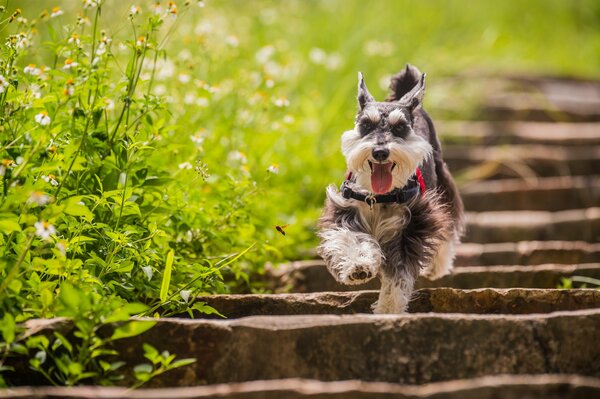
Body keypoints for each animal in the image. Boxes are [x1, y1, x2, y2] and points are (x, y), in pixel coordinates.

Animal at [318, 65, 464, 316]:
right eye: (366, 124)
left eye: (400, 128)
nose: (380, 152)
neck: (379, 196)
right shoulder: (344, 211)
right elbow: (351, 238)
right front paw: (358, 266)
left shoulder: (412, 226)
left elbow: (399, 274)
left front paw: (388, 308)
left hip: (443, 184)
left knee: (448, 226)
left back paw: (437, 266)